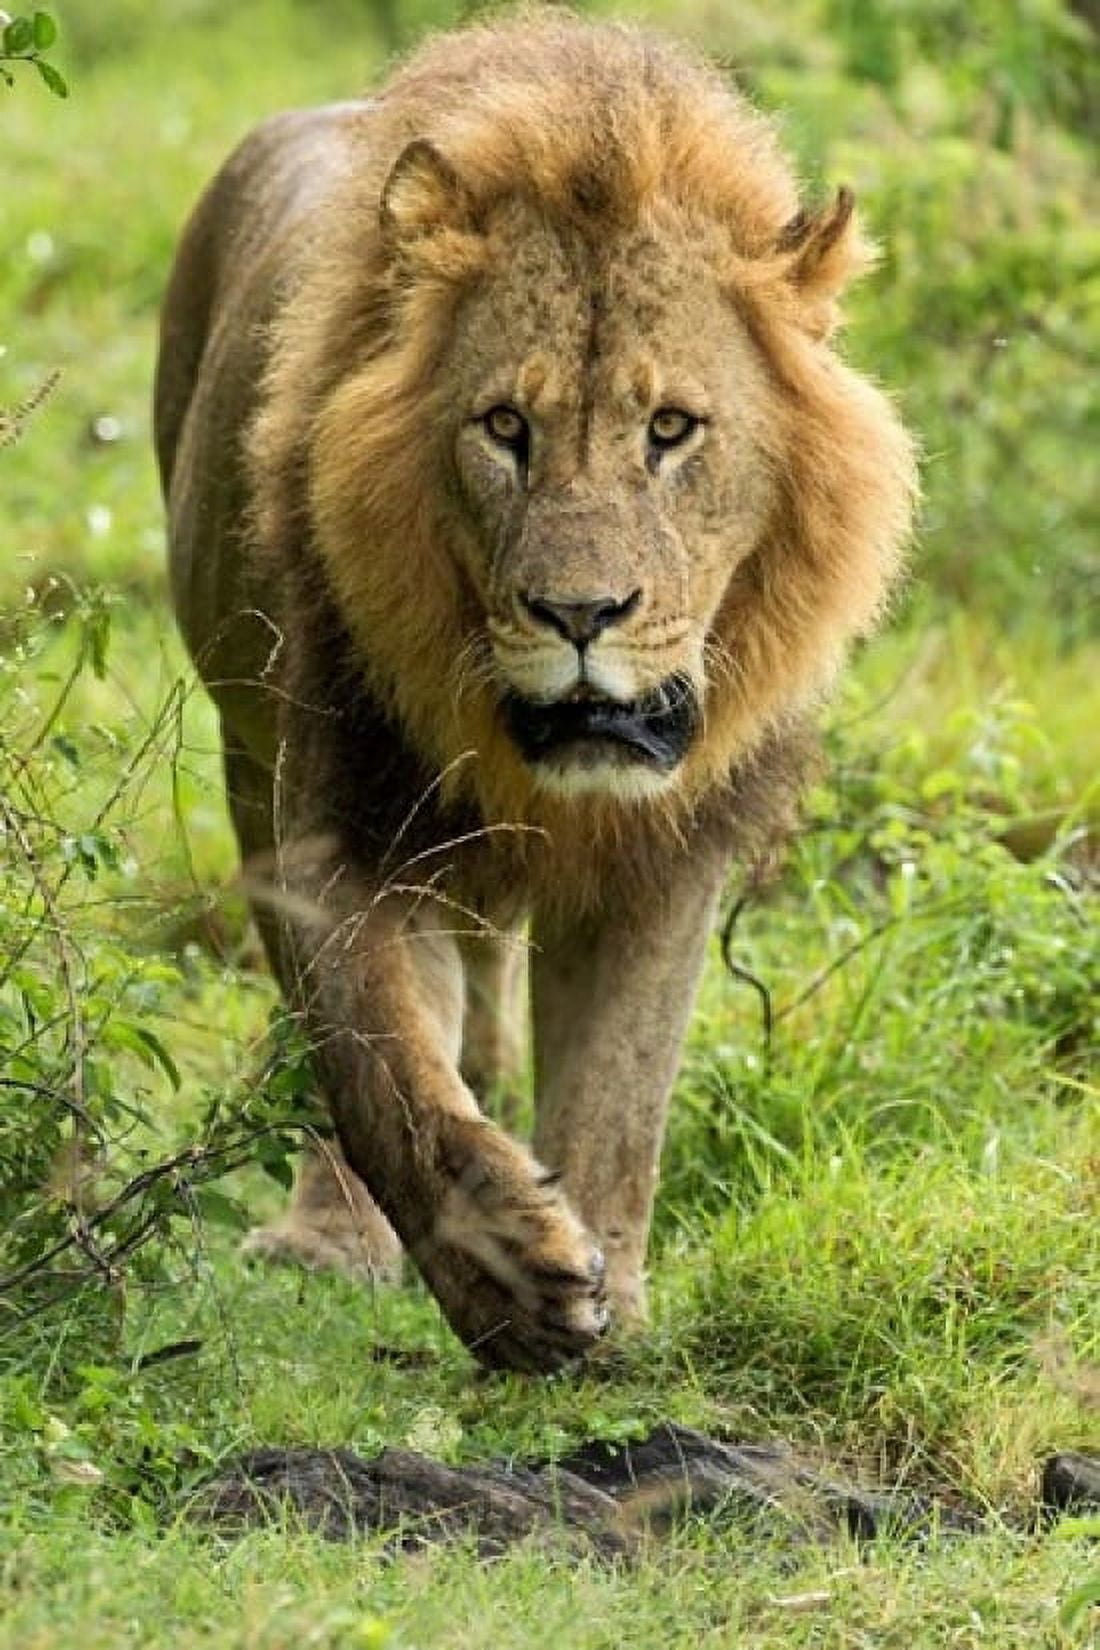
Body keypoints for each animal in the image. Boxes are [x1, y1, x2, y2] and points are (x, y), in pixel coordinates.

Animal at [155, 12, 916, 1372]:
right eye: (504, 426)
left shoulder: (667, 859)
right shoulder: (342, 821)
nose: (579, 616)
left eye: (671, 429)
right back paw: (330, 1236)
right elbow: (376, 1062)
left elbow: (619, 1089)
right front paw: (511, 1281)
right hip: (247, 751)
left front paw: (611, 1296)